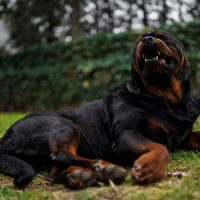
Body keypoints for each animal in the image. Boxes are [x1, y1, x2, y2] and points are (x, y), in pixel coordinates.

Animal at [0, 28, 200, 188]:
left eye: (163, 37)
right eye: (138, 42)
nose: (147, 40)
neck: (165, 99)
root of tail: (6, 139)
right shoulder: (125, 134)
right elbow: (159, 146)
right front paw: (149, 167)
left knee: (54, 169)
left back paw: (83, 175)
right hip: (65, 124)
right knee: (60, 155)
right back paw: (106, 168)